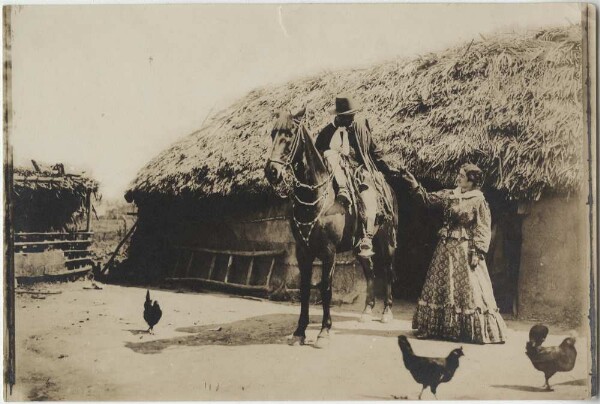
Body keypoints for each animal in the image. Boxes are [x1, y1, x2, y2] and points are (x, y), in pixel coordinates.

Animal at [264, 109, 398, 348]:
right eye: (272, 133)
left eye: (289, 134)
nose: (272, 171)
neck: (316, 197)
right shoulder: (303, 251)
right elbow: (305, 289)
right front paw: (299, 331)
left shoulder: (328, 251)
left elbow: (326, 287)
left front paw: (324, 331)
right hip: (360, 248)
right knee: (371, 271)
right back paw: (367, 311)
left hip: (388, 241)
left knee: (388, 270)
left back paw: (386, 312)